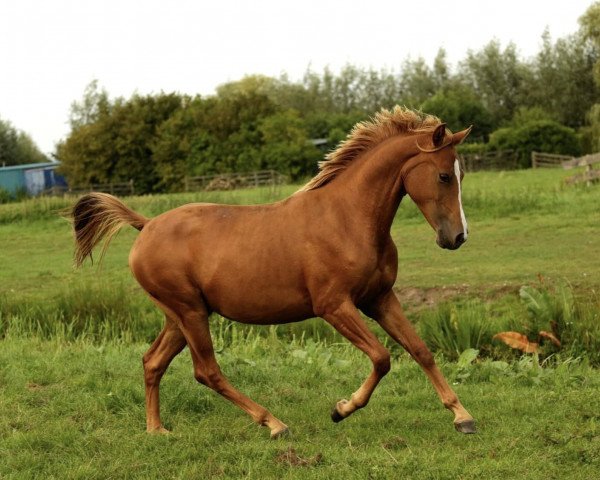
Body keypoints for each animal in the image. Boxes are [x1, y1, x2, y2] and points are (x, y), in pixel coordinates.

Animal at [71, 107, 474, 436]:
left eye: (461, 175)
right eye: (443, 176)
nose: (458, 237)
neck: (347, 219)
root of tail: (146, 224)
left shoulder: (379, 298)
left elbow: (420, 350)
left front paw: (462, 417)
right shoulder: (334, 306)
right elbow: (381, 357)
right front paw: (341, 409)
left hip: (181, 316)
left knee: (152, 362)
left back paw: (157, 430)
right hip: (189, 312)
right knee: (207, 371)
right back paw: (274, 423)